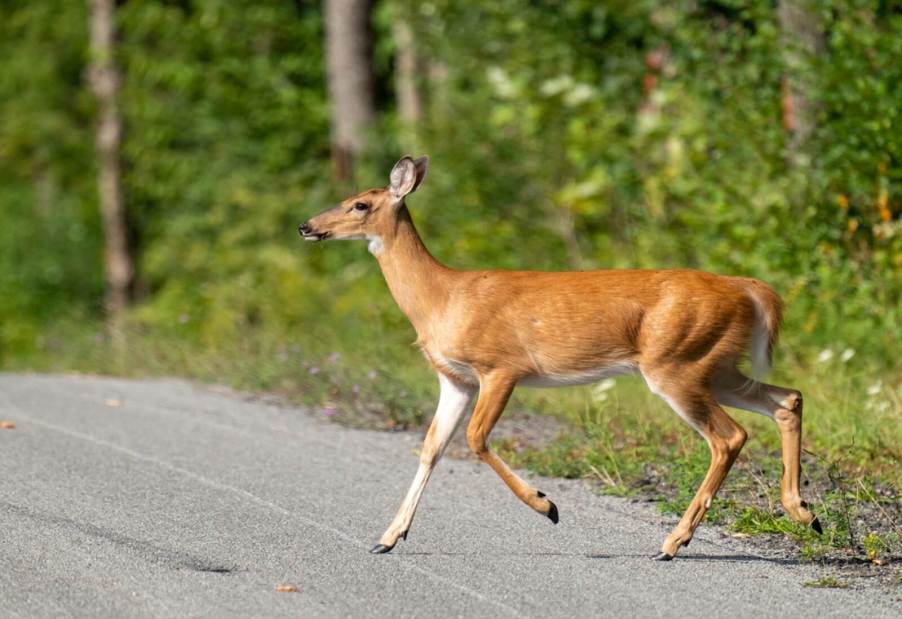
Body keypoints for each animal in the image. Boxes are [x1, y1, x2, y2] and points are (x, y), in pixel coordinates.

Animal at [298, 156, 821, 560]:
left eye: (360, 203)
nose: (307, 226)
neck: (441, 298)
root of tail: (749, 289)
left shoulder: (501, 366)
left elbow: (475, 439)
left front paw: (547, 506)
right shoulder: (455, 378)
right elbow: (432, 447)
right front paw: (387, 537)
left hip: (676, 363)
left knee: (729, 436)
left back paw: (673, 543)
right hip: (716, 365)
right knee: (786, 399)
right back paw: (804, 512)